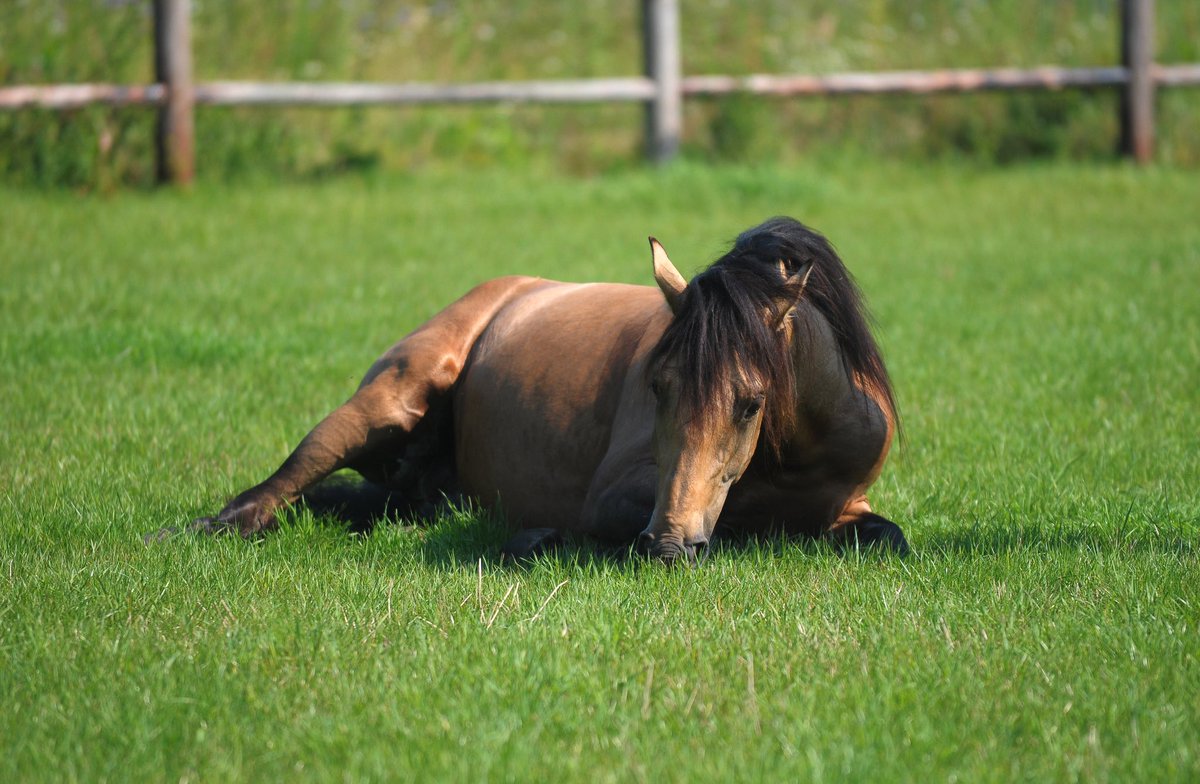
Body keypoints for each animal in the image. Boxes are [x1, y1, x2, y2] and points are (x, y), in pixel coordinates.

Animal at [166, 217, 906, 562]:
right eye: (657, 387)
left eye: (751, 401)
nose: (669, 545)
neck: (793, 456)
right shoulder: (617, 496)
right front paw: (540, 538)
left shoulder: (853, 504)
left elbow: (885, 536)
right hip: (382, 405)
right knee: (270, 492)